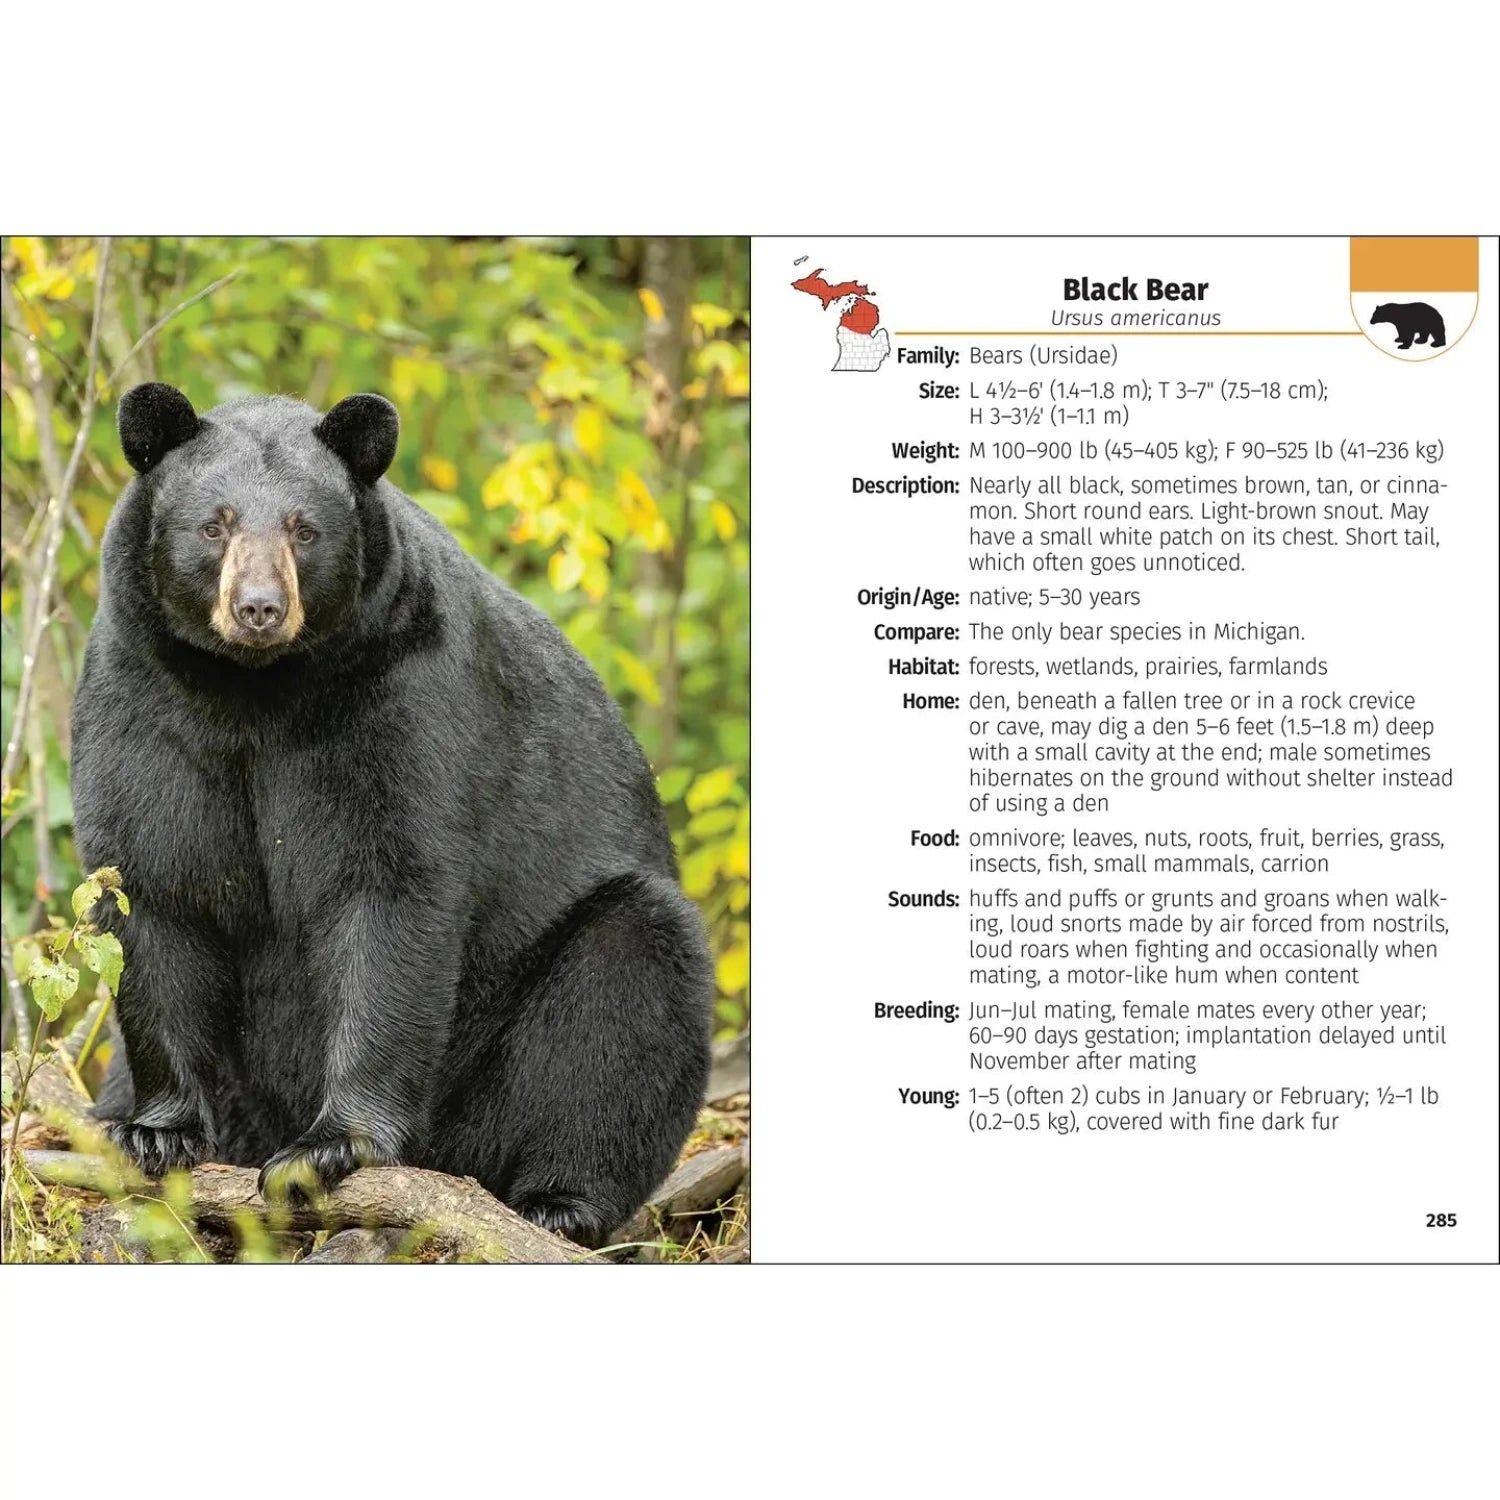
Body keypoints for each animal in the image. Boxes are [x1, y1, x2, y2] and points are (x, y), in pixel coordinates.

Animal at [74, 383, 713, 1247]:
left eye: (304, 529)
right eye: (215, 524)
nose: (259, 608)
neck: (252, 691)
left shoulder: (399, 695)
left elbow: (389, 886)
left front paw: (330, 1146)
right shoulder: (144, 702)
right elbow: (153, 887)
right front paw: (156, 1129)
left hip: (502, 1056)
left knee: (628, 983)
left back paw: (560, 1198)